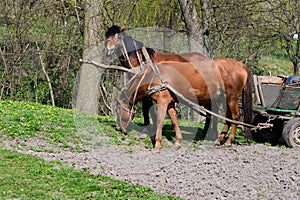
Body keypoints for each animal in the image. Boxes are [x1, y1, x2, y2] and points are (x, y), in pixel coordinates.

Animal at [116, 58, 252, 148]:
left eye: (118, 110)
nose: (118, 128)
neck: (154, 76)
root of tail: (241, 65)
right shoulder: (170, 103)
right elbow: (174, 121)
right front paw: (178, 141)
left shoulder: (162, 102)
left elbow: (160, 121)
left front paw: (157, 143)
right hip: (225, 99)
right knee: (228, 118)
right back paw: (219, 140)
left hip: (232, 98)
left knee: (235, 117)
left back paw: (228, 141)